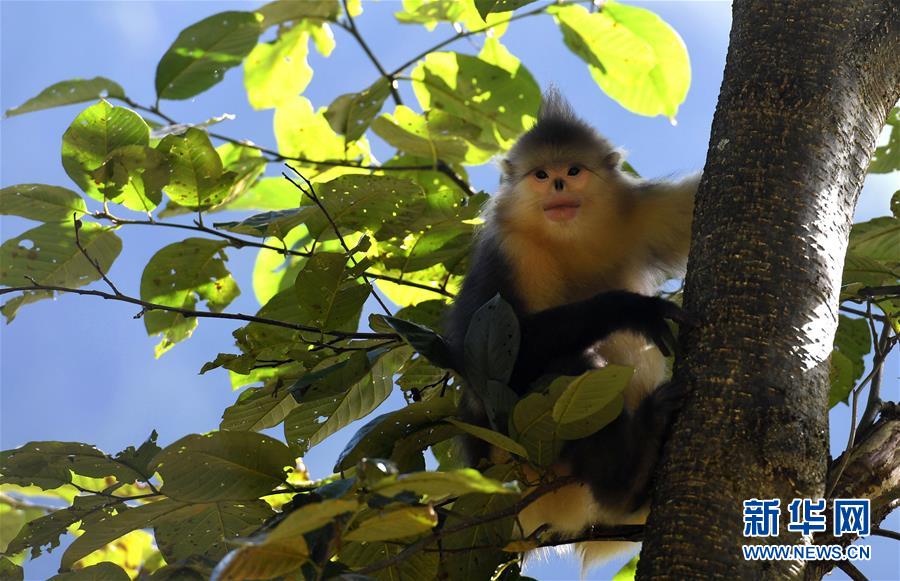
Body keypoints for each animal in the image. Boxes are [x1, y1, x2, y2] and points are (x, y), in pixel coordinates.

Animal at [446, 89, 700, 568]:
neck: (570, 238)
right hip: (512, 450)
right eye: (542, 175)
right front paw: (633, 309)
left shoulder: (644, 212)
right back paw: (626, 478)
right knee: (575, 363)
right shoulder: (507, 250)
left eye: (574, 171)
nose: (559, 186)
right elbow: (483, 362)